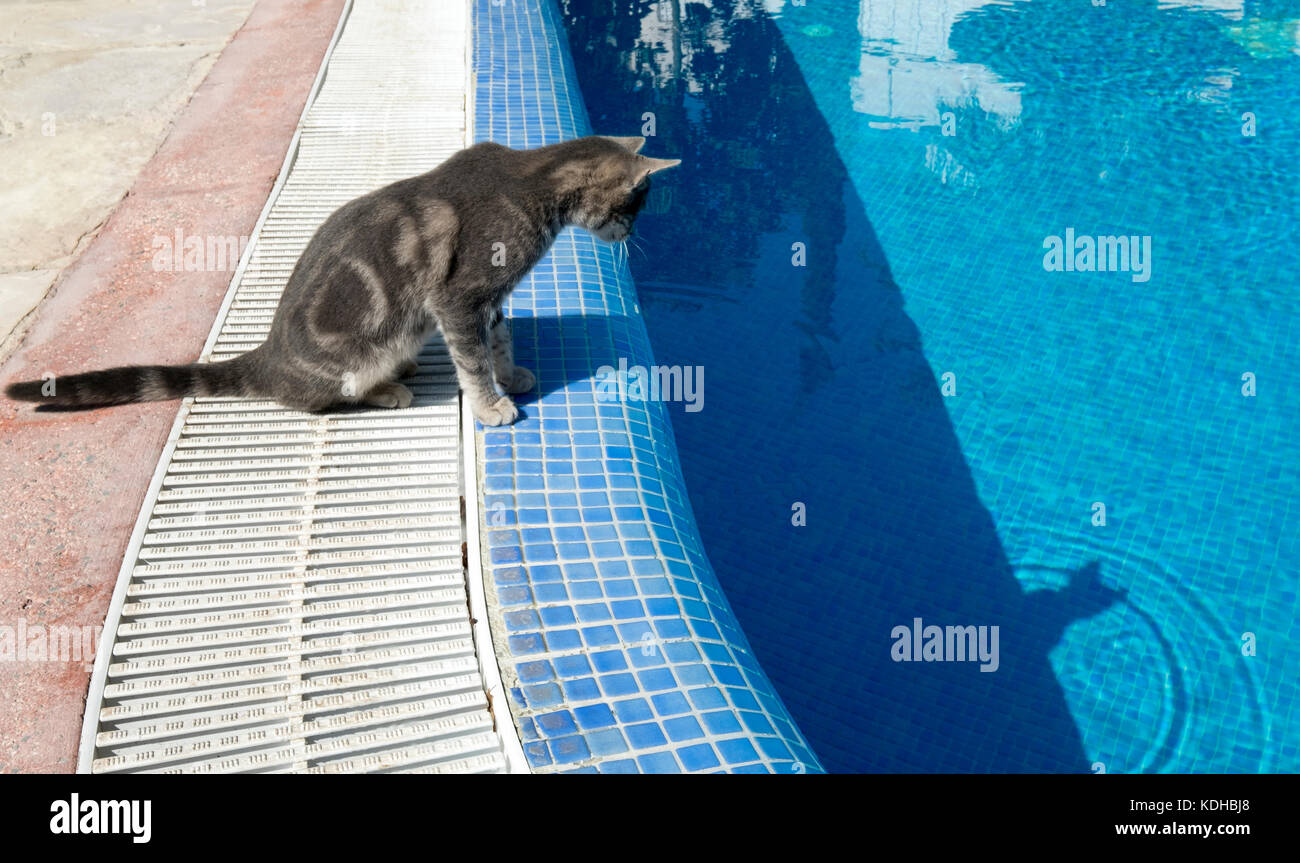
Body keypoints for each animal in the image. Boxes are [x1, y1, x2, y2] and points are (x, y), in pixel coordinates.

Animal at [5, 135, 681, 428]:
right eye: (636, 204)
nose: (632, 235)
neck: (531, 178)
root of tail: (268, 355)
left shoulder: (489, 301)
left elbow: (500, 340)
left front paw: (510, 373)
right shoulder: (459, 297)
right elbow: (472, 361)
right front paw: (492, 404)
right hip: (356, 358)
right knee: (315, 401)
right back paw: (389, 390)